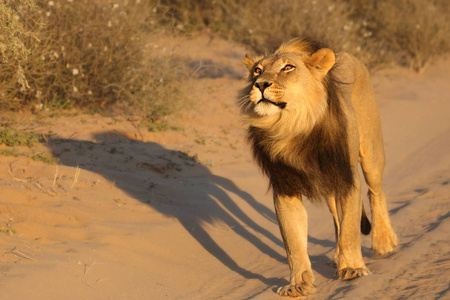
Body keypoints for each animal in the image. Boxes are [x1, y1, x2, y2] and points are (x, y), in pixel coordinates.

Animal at [239, 38, 398, 298]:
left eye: (288, 68)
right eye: (257, 70)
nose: (259, 84)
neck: (292, 125)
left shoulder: (346, 177)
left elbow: (351, 227)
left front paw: (353, 268)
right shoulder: (285, 187)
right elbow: (293, 241)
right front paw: (297, 283)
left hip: (371, 152)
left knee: (375, 192)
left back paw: (384, 241)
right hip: (330, 187)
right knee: (337, 219)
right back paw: (337, 255)